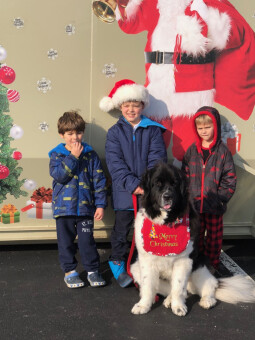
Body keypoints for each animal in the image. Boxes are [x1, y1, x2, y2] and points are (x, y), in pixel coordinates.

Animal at [130, 163, 254, 316]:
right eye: (157, 184)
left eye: (174, 184)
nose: (167, 196)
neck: (167, 222)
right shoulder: (146, 260)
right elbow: (148, 285)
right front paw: (143, 305)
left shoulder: (184, 261)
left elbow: (178, 286)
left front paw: (178, 307)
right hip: (135, 268)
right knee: (173, 290)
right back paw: (166, 299)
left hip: (199, 268)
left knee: (209, 285)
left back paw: (206, 300)